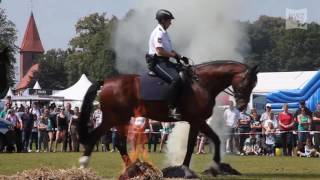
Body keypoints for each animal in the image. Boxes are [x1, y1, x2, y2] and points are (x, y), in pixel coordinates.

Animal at [79, 60, 258, 176]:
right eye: (247, 82)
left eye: (254, 84)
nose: (242, 106)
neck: (201, 83)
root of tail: (106, 81)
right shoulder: (196, 121)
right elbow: (196, 144)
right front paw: (188, 169)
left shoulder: (198, 122)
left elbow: (211, 140)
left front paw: (212, 167)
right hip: (116, 118)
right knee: (107, 140)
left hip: (117, 119)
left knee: (110, 141)